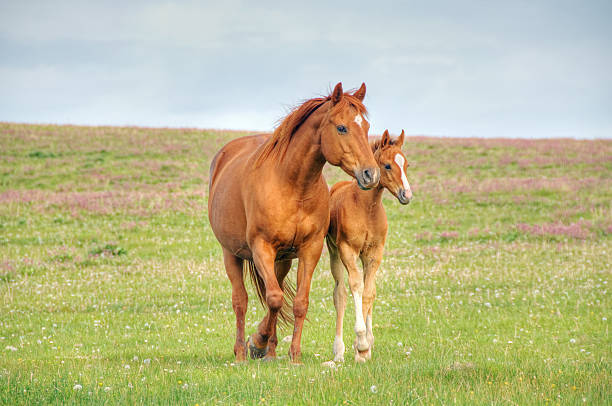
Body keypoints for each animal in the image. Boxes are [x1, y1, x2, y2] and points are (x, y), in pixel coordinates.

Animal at [208, 82, 380, 364]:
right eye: (342, 128)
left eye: (366, 127)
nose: (371, 174)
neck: (293, 185)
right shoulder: (261, 248)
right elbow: (275, 299)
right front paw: (257, 342)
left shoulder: (309, 249)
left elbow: (298, 302)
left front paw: (293, 355)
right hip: (231, 254)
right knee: (241, 301)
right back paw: (242, 352)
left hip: (282, 261)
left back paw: (270, 351)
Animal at [326, 129, 412, 362]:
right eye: (388, 165)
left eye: (406, 164)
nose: (407, 195)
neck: (366, 208)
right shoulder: (347, 250)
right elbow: (356, 286)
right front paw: (361, 341)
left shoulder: (374, 253)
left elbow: (369, 292)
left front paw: (363, 348)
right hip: (334, 253)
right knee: (340, 294)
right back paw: (338, 351)